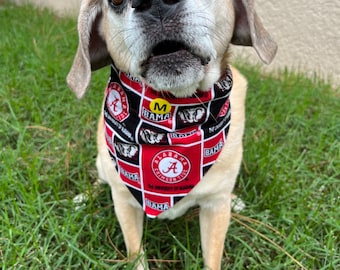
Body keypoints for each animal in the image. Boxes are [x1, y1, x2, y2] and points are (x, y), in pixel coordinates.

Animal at [65, 0, 276, 268]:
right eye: (115, 2)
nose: (154, 4)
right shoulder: (125, 203)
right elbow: (136, 254)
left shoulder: (215, 207)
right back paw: (84, 197)